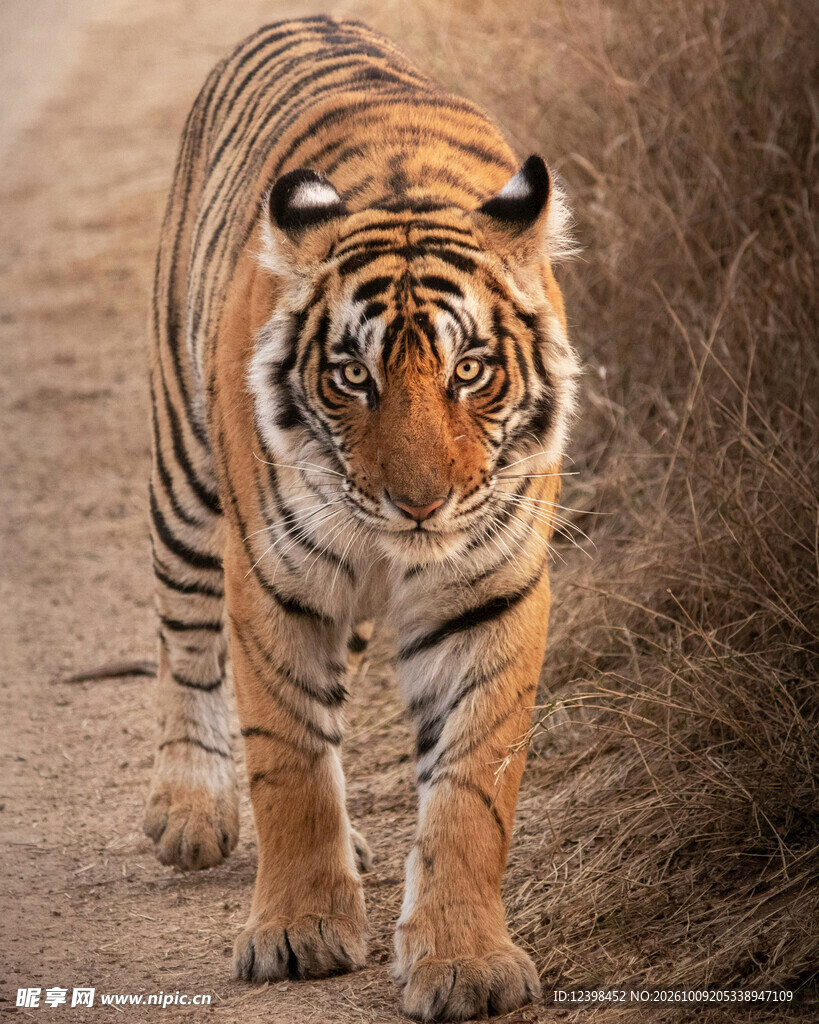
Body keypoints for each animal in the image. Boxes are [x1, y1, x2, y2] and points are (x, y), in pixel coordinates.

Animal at [142, 15, 578, 1023]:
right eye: (352, 376)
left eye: (469, 371)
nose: (419, 503)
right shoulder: (275, 581)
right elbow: (290, 761)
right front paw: (298, 932)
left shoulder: (488, 592)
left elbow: (471, 788)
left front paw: (464, 961)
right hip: (185, 477)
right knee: (185, 635)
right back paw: (189, 807)